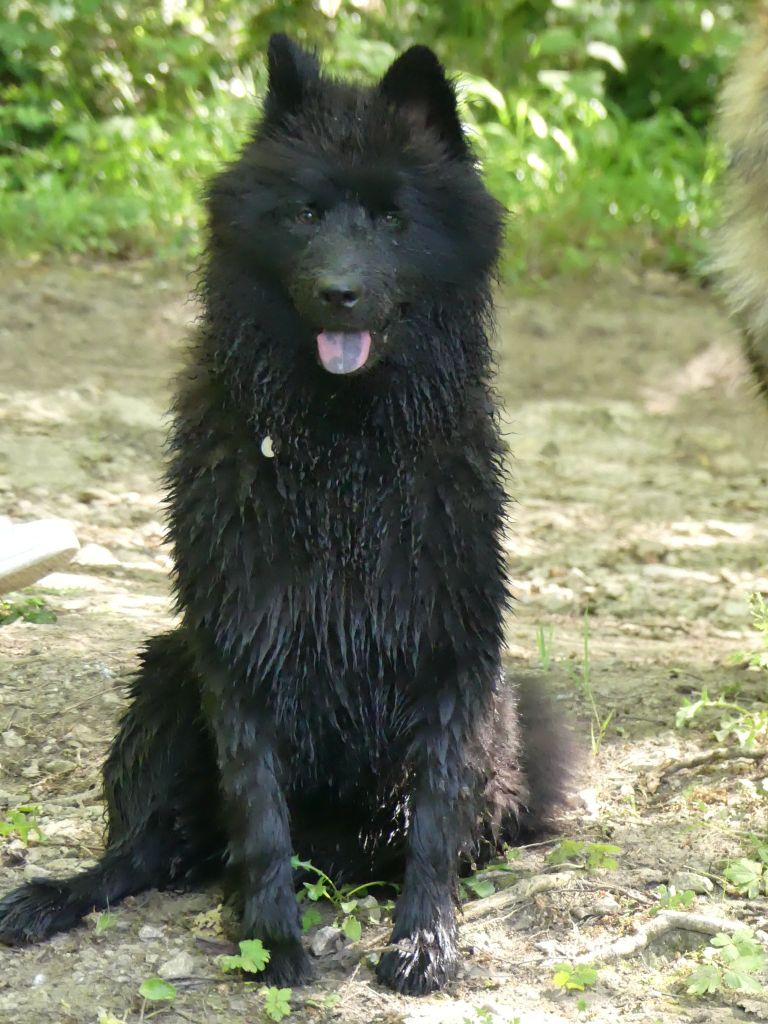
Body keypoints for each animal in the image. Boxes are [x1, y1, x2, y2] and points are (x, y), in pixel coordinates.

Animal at [0, 36, 569, 995]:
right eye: (305, 213)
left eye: (393, 218)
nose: (340, 292)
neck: (340, 453)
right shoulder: (239, 644)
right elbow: (258, 811)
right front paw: (273, 939)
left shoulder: (449, 653)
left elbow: (433, 822)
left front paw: (424, 940)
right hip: (164, 675)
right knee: (145, 850)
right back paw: (57, 895)